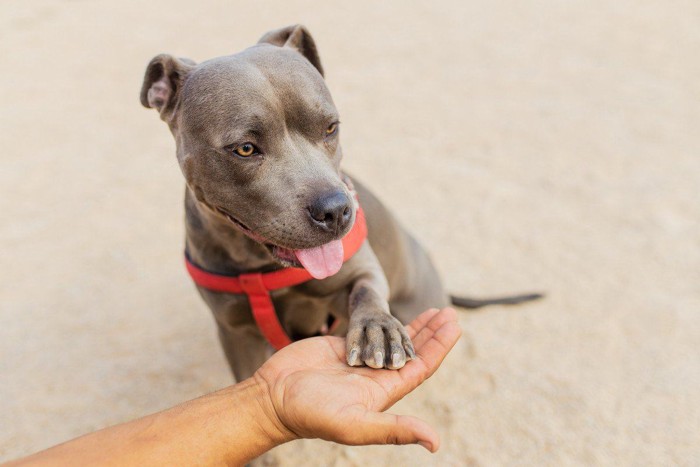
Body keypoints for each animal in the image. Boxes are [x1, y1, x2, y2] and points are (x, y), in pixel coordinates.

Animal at [139, 25, 540, 382]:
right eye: (246, 149)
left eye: (331, 127)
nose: (335, 210)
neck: (261, 268)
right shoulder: (236, 333)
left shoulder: (359, 265)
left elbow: (367, 287)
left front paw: (377, 328)